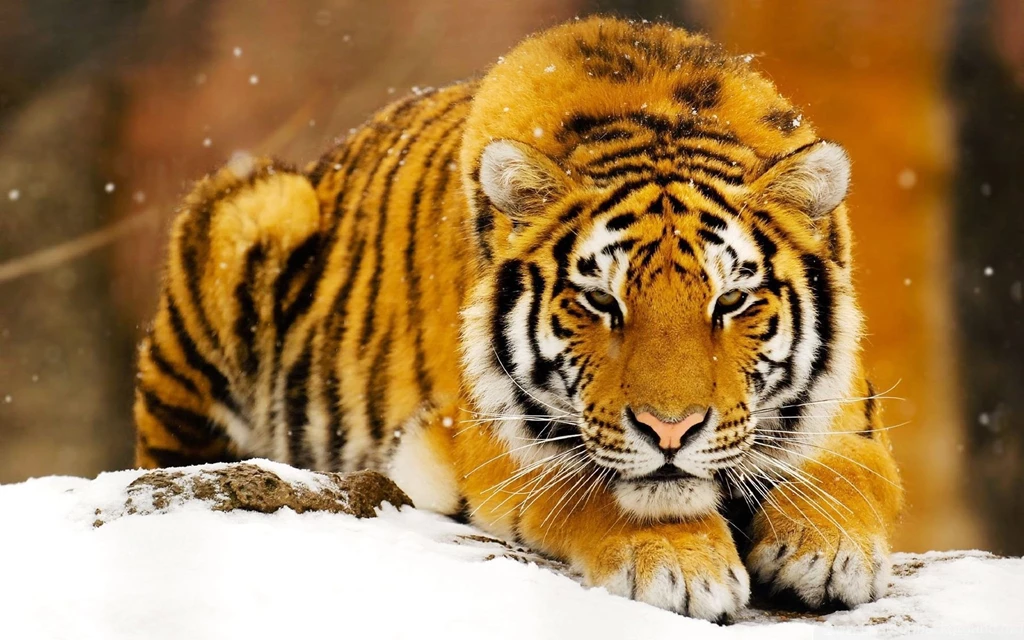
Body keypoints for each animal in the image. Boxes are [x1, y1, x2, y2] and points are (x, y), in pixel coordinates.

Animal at [133, 16, 904, 620]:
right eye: (601, 302)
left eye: (731, 302)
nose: (671, 431)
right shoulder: (488, 436)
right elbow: (597, 486)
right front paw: (681, 564)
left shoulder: (847, 411)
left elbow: (847, 473)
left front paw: (829, 550)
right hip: (252, 212)